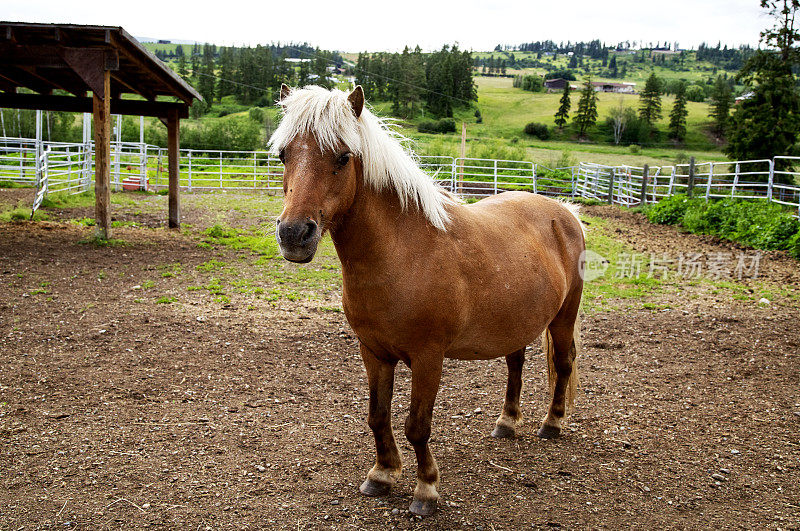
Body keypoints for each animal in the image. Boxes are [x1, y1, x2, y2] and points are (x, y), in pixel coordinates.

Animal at [272, 83, 584, 516]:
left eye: (343, 157)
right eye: (284, 154)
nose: (294, 234)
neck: (404, 252)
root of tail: (565, 212)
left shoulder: (427, 357)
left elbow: (417, 426)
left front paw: (426, 489)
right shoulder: (373, 352)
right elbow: (378, 416)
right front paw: (382, 474)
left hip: (563, 317)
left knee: (564, 362)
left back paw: (552, 424)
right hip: (516, 323)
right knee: (515, 365)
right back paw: (507, 423)